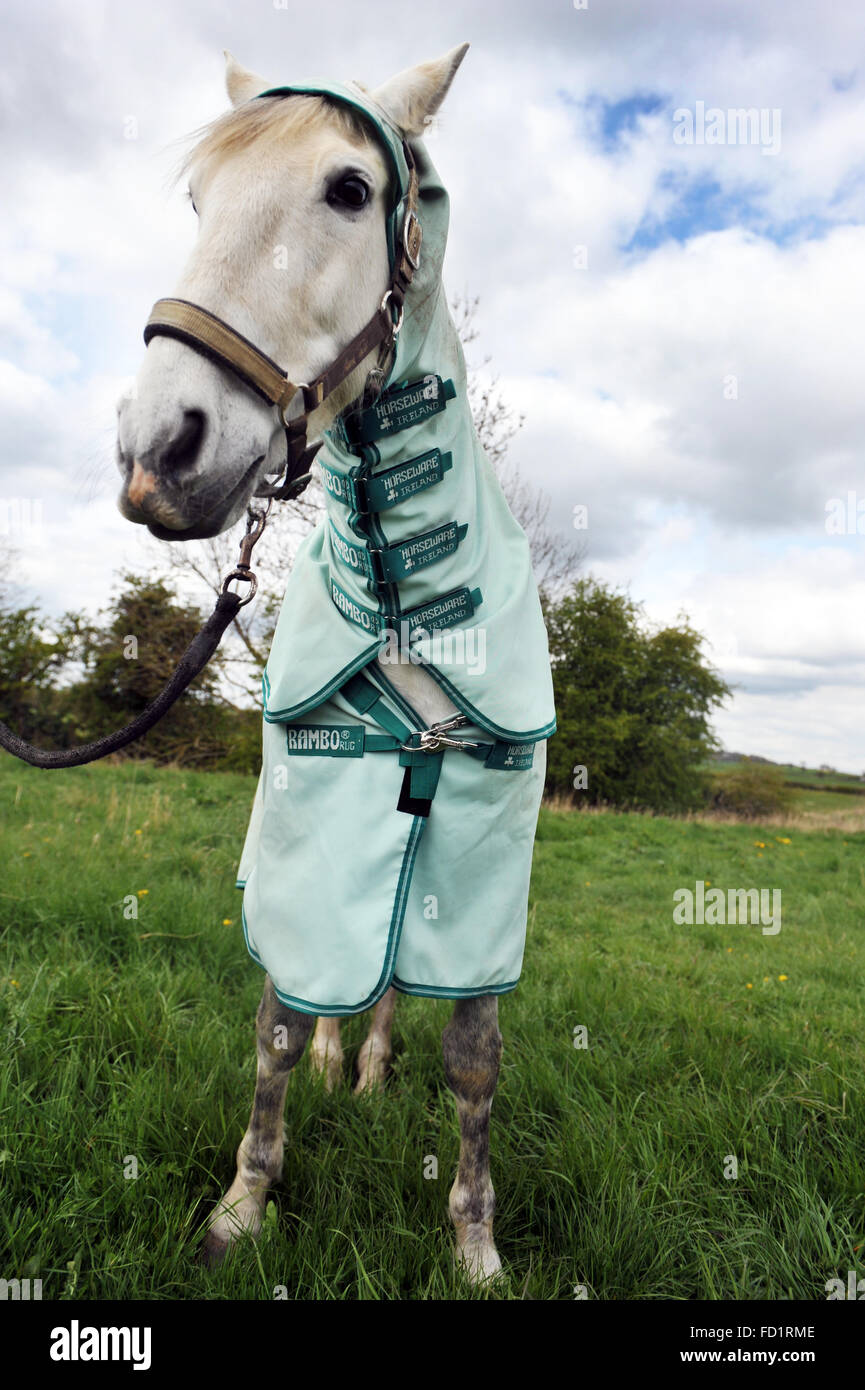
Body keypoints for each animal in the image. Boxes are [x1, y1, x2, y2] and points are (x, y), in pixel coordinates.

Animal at [115, 46, 547, 1278]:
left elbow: (473, 1058)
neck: (403, 599)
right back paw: (330, 1059)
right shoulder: (312, 824)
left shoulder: (480, 860)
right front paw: (242, 1206)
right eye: (199, 202)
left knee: (396, 973)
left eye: (350, 190)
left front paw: (475, 1241)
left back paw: (368, 1066)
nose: (158, 452)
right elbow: (273, 1022)